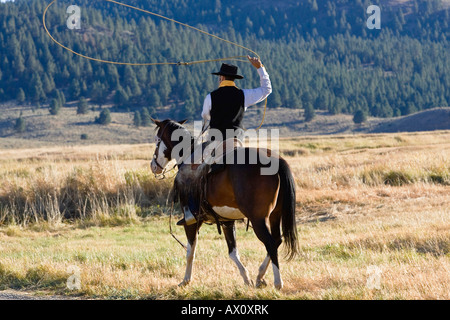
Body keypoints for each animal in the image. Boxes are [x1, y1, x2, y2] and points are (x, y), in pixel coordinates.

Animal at [151, 119, 298, 288]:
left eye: (157, 140)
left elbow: (190, 251)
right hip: (275, 216)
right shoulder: (227, 221)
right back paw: (260, 276)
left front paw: (185, 280)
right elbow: (233, 252)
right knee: (277, 240)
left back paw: (277, 282)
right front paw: (246, 279)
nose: (153, 166)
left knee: (271, 243)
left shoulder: (192, 221)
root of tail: (276, 160)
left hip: (258, 219)